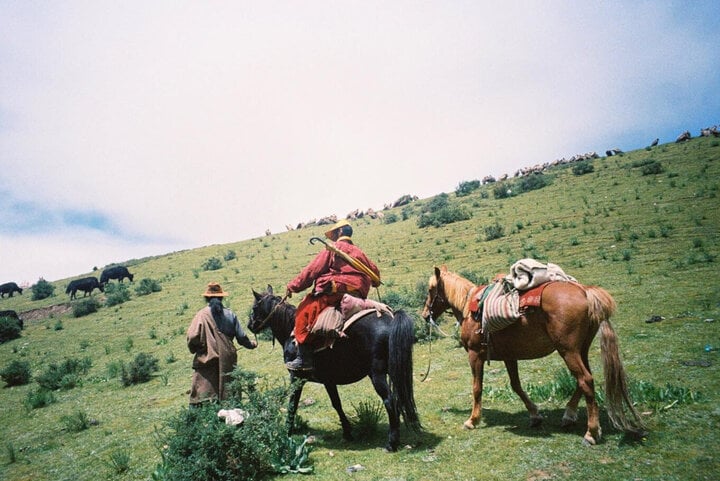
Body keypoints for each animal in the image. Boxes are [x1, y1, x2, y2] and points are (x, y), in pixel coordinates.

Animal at [249, 284, 422, 450]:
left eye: (254, 307)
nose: (250, 325)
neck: (290, 330)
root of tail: (391, 320)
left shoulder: (296, 377)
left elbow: (293, 404)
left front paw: (287, 432)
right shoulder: (328, 381)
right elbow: (336, 403)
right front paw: (347, 432)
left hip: (377, 375)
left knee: (389, 401)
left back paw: (391, 443)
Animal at [420, 264, 644, 444]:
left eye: (431, 289)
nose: (424, 315)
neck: (469, 308)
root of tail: (584, 291)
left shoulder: (475, 355)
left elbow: (477, 388)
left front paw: (472, 420)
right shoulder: (509, 356)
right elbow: (516, 386)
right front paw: (535, 415)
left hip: (568, 350)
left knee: (585, 380)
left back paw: (591, 432)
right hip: (581, 349)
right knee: (585, 380)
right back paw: (569, 416)